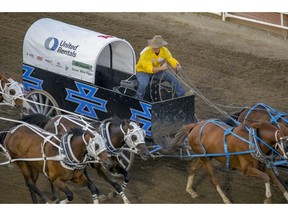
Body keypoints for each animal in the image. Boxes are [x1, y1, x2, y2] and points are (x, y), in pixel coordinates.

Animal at [18, 114, 150, 203]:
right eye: (134, 137)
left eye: (143, 134)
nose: (146, 153)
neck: (108, 138)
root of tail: (50, 119)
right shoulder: (101, 169)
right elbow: (115, 184)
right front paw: (114, 194)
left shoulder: (113, 165)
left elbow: (127, 176)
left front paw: (115, 193)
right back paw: (56, 197)